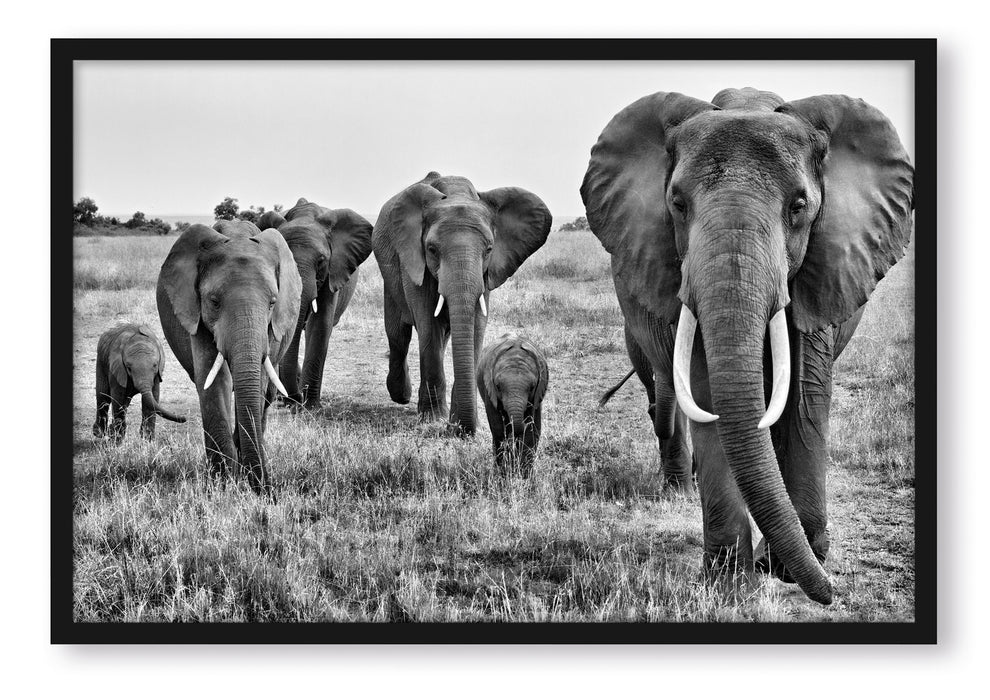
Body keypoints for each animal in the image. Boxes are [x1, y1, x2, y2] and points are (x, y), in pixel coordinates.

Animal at [155, 221, 300, 494]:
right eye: (213, 301)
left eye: (272, 303)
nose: (269, 492)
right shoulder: (197, 316)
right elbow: (214, 381)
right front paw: (223, 485)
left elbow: (257, 383)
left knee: (264, 396)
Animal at [374, 172, 556, 434]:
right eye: (431, 249)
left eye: (489, 249)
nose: (461, 430)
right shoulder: (415, 263)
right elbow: (428, 325)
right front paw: (433, 419)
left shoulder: (486, 274)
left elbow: (476, 327)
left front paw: (461, 423)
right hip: (390, 273)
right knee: (399, 335)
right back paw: (402, 396)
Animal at [478, 334, 552, 476]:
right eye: (498, 386)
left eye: (532, 387)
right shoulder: (489, 391)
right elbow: (498, 429)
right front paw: (504, 474)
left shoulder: (536, 397)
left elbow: (531, 431)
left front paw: (524, 475)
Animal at [580, 87, 916, 604]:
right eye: (677, 203)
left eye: (798, 206)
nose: (832, 593)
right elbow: (710, 395)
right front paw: (730, 584)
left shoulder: (821, 268)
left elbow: (805, 393)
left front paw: (787, 568)